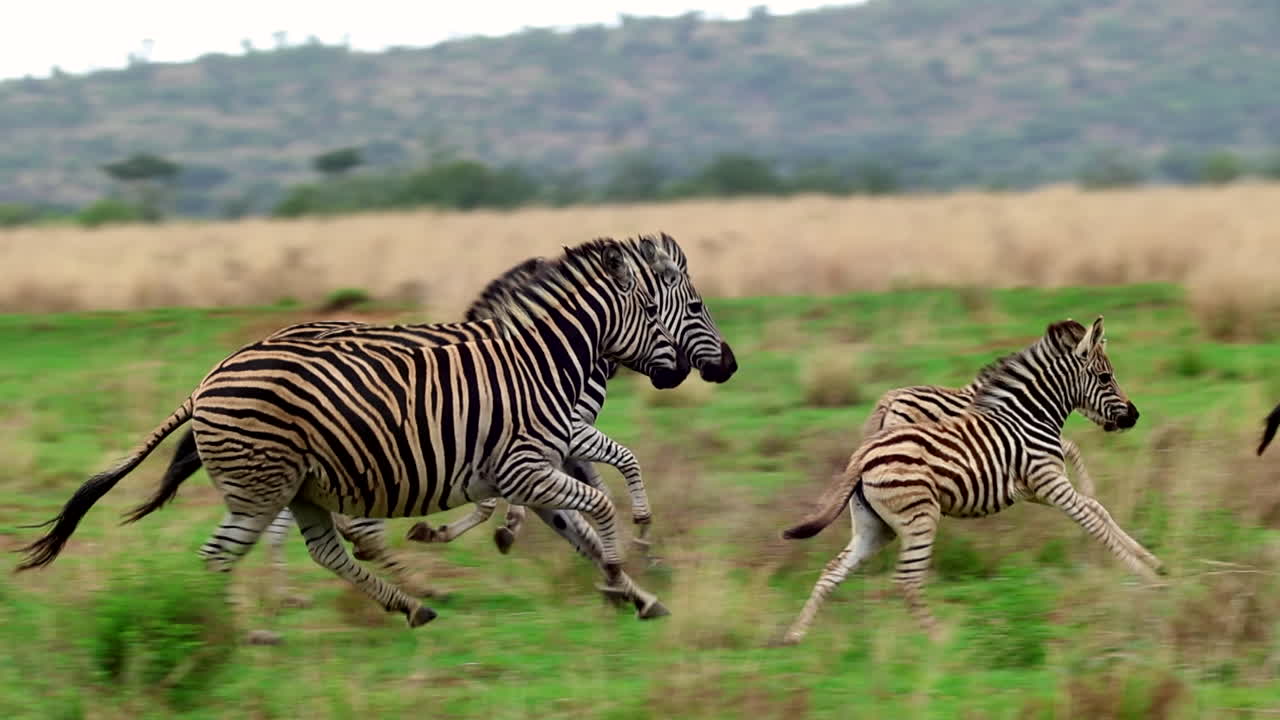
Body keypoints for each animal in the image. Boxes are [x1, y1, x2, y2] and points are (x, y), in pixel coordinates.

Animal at [17, 239, 686, 626]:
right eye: (666, 312)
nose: (690, 370)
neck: (536, 361)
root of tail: (205, 385)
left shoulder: (538, 461)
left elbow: (580, 513)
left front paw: (631, 586)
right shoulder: (522, 462)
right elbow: (591, 504)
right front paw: (620, 573)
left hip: (298, 485)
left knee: (321, 549)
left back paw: (407, 603)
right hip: (270, 485)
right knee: (238, 551)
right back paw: (241, 631)